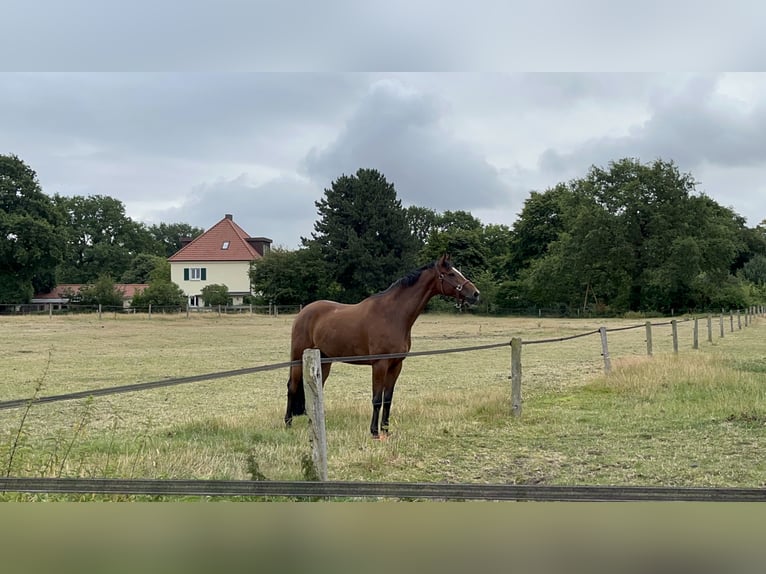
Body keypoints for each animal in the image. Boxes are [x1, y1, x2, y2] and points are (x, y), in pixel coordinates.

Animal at [284, 254, 484, 438]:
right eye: (451, 274)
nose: (475, 294)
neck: (392, 315)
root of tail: (304, 312)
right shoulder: (379, 364)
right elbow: (376, 399)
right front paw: (374, 431)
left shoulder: (396, 365)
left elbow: (387, 399)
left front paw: (386, 431)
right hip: (298, 359)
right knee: (292, 387)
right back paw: (288, 424)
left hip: (324, 361)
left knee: (316, 391)